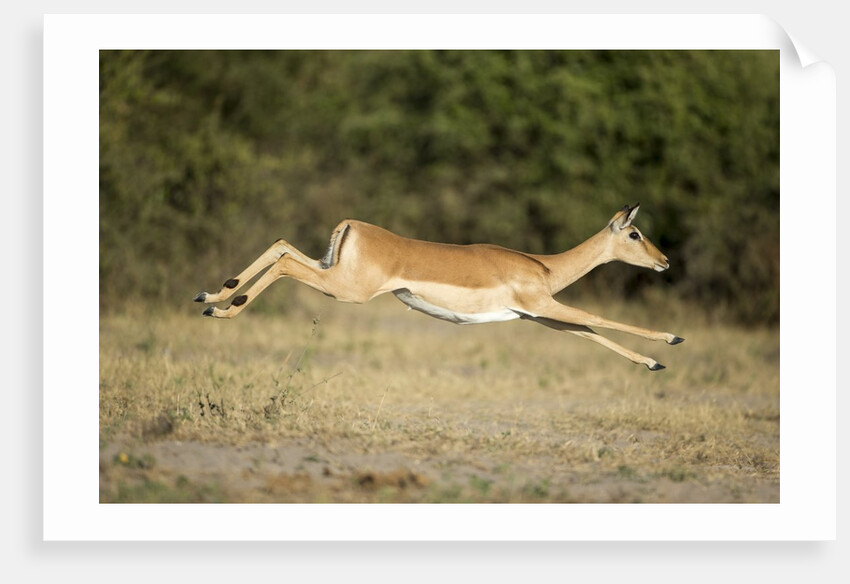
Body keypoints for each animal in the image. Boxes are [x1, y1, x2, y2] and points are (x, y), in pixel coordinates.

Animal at [195, 204, 683, 370]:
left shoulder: (539, 316)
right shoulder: (545, 306)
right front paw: (672, 339)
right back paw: (222, 307)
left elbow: (591, 333)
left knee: (281, 247)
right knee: (284, 265)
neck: (545, 267)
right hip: (346, 289)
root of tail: (351, 224)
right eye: (635, 233)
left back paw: (211, 296)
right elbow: (600, 318)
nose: (665, 261)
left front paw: (654, 363)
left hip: (330, 269)